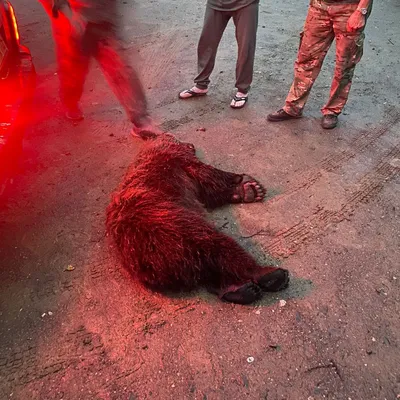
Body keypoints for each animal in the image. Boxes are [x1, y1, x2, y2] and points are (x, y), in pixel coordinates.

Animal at [104, 134, 290, 304]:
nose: (191, 144)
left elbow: (209, 191)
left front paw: (247, 191)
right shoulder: (178, 161)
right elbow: (208, 175)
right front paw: (246, 182)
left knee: (211, 268)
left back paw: (240, 291)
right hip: (172, 225)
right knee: (219, 247)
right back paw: (269, 275)